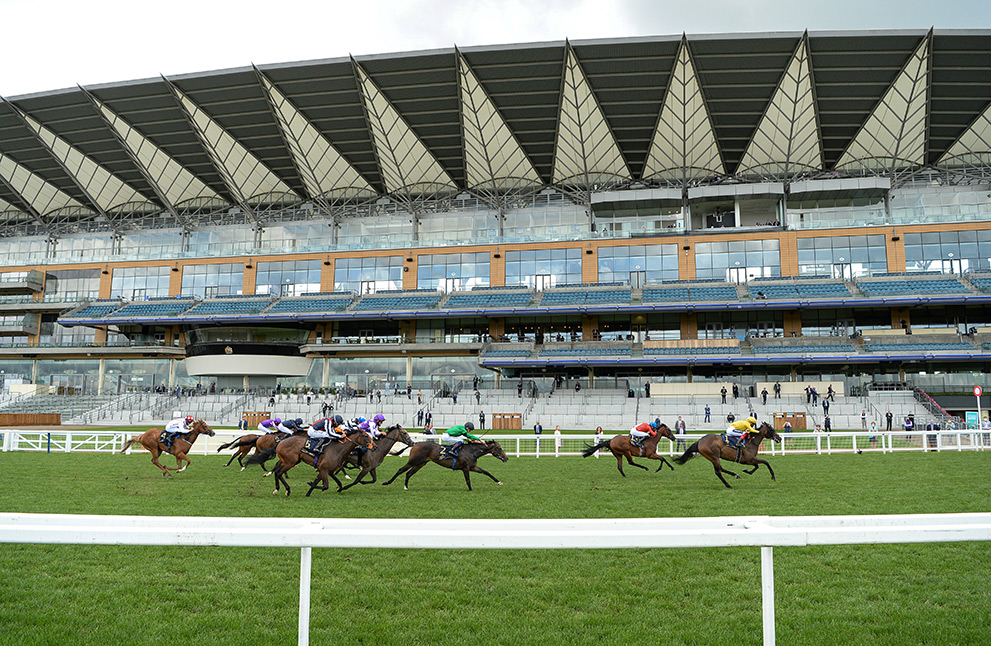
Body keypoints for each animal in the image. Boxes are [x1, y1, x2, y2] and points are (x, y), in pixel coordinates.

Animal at [378, 442, 508, 494]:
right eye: (499, 448)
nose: (506, 458)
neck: (472, 451)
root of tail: (415, 444)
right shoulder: (466, 468)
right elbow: (468, 480)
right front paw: (471, 490)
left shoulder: (473, 467)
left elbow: (486, 472)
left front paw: (499, 482)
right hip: (414, 461)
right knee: (401, 470)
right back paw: (387, 482)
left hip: (420, 464)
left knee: (408, 474)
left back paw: (406, 486)